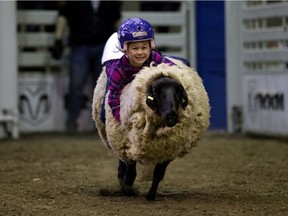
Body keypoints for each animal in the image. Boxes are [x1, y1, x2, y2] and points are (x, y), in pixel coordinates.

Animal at [92, 57, 209, 201]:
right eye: (155, 92)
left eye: (178, 92)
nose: (171, 115)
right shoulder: (130, 143)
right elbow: (130, 171)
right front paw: (127, 187)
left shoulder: (170, 148)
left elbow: (158, 173)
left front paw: (151, 195)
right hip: (117, 138)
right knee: (122, 162)